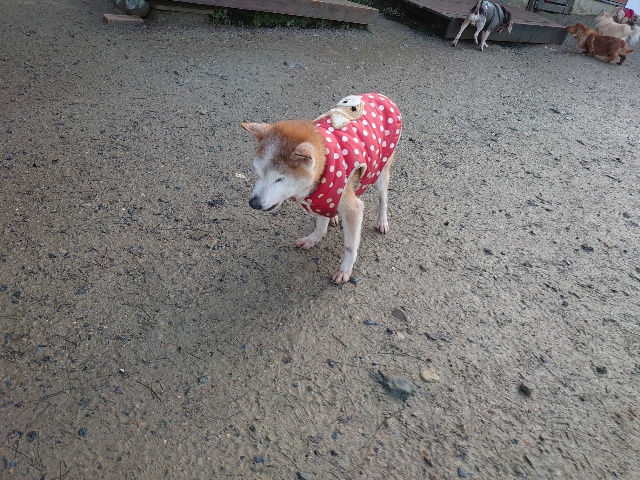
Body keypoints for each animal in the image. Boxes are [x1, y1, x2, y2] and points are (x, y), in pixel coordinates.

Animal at [242, 93, 402, 284]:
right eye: (257, 173)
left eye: (279, 179)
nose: (253, 203)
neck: (325, 164)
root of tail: (381, 96)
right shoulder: (320, 198)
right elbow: (320, 227)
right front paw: (313, 239)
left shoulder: (352, 208)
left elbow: (350, 246)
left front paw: (344, 270)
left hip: (380, 172)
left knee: (383, 198)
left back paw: (382, 221)